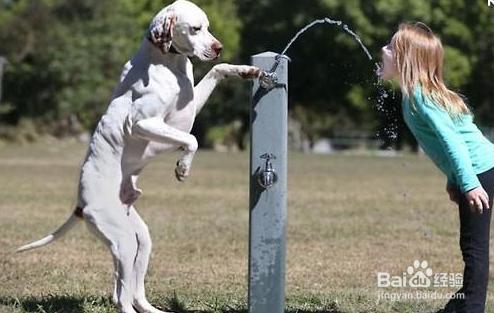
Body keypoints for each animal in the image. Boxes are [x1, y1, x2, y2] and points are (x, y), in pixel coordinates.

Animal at [16, 1, 260, 310]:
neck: (167, 63)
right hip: (123, 241)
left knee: (133, 291)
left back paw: (153, 309)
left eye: (207, 26)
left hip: (141, 241)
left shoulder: (187, 112)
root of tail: (81, 204)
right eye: (195, 29)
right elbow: (191, 140)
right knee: (122, 297)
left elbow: (217, 70)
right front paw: (182, 167)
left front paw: (244, 70)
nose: (218, 47)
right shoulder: (144, 123)